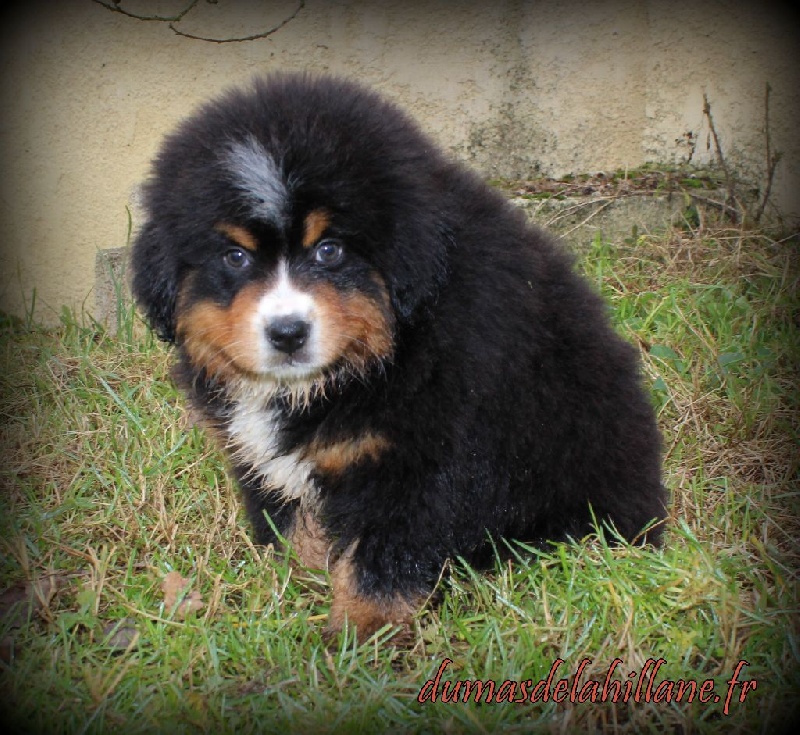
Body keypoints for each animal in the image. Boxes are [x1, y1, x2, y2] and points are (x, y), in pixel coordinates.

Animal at [131, 73, 665, 640]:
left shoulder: (419, 459)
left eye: (330, 250)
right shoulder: (261, 460)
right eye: (235, 257)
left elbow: (383, 558)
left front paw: (360, 636)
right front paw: (302, 586)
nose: (287, 333)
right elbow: (297, 527)